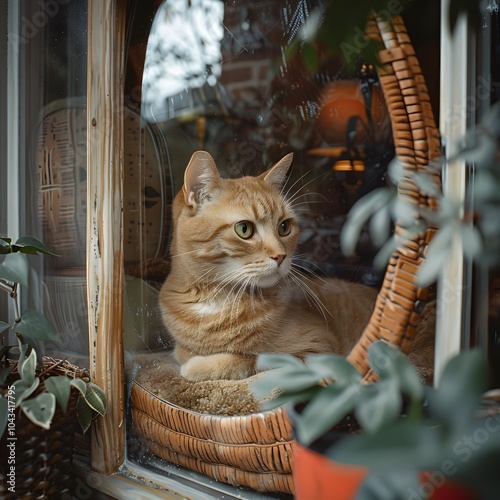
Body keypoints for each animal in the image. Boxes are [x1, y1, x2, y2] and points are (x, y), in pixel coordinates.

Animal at [159, 150, 434, 380]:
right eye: (244, 229)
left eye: (284, 227)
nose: (280, 256)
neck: (216, 301)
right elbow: (180, 351)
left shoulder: (317, 352)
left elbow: (253, 358)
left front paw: (200, 366)